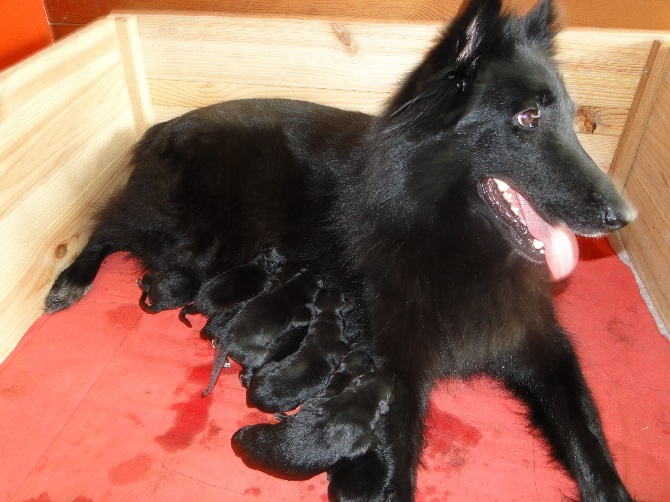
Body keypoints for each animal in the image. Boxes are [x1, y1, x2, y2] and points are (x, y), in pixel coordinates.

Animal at [46, 1, 636, 500]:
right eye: (528, 118)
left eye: (570, 117)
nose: (624, 216)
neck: (449, 236)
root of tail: (165, 125)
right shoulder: (396, 369)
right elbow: (397, 470)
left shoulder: (541, 346)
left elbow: (589, 440)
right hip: (193, 234)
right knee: (108, 224)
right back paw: (70, 280)